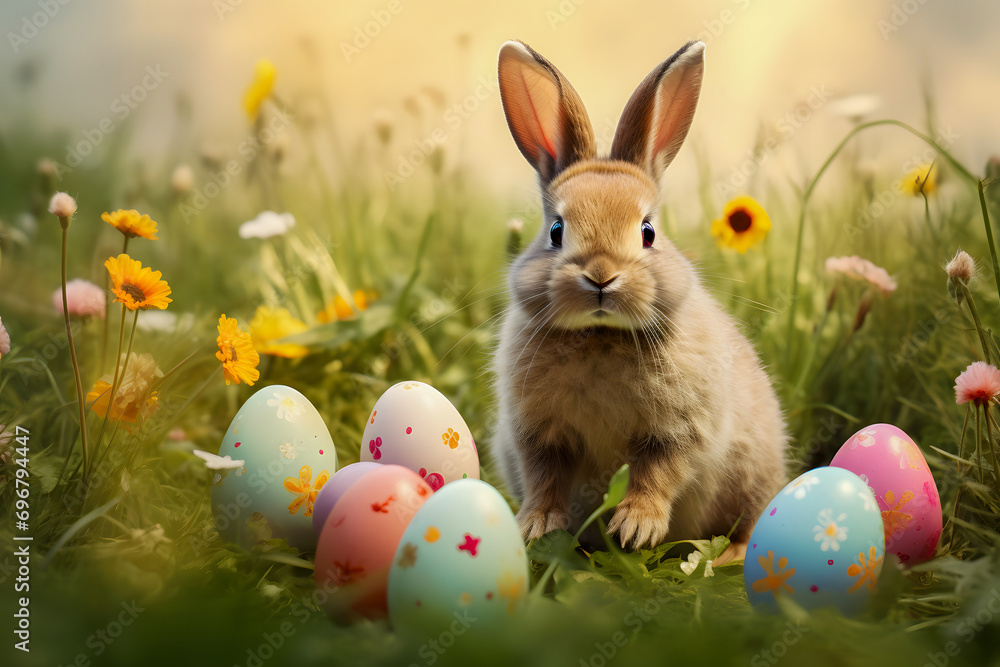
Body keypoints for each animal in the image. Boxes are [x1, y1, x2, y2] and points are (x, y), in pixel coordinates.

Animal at [490, 39, 788, 558]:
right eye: (556, 230)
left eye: (648, 231)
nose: (601, 277)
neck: (599, 336)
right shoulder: (538, 435)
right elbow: (545, 478)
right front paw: (536, 527)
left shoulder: (677, 429)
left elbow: (657, 473)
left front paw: (635, 528)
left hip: (755, 473)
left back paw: (729, 555)